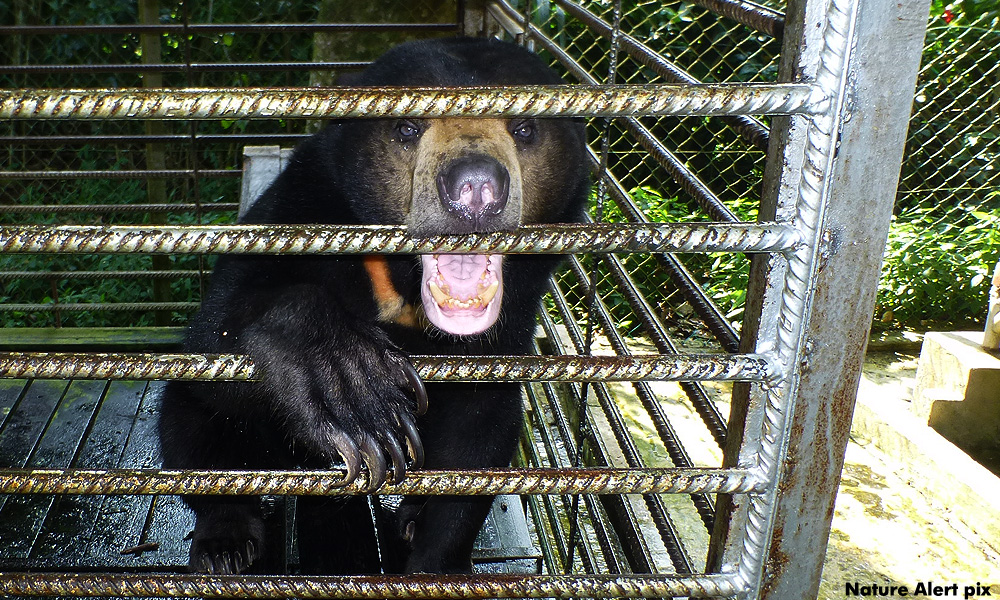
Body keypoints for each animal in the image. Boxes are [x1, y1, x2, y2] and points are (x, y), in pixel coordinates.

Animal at [157, 36, 590, 576]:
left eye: (525, 127)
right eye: (406, 127)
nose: (475, 188)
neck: (402, 286)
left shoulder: (511, 322)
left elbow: (482, 430)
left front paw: (435, 561)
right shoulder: (303, 203)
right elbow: (216, 334)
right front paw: (358, 392)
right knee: (188, 425)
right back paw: (227, 541)